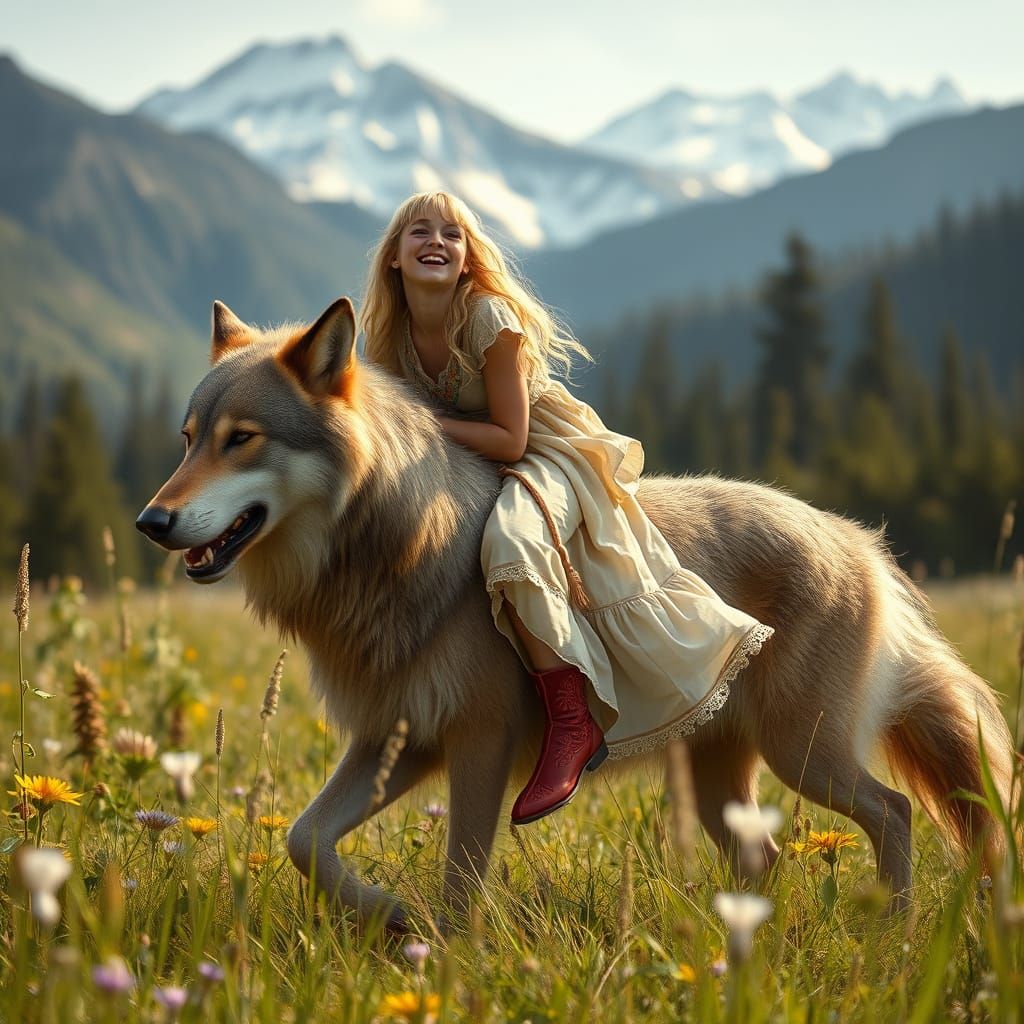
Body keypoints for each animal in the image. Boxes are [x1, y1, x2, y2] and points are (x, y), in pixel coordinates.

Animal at [137, 296, 1014, 927]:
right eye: (187, 439)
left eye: (241, 438)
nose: (151, 521)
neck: (392, 548)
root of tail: (857, 538)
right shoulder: (397, 741)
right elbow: (304, 840)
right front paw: (387, 917)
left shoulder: (479, 741)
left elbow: (460, 879)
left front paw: (447, 959)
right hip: (725, 779)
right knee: (769, 857)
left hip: (805, 754)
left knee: (895, 812)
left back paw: (894, 933)